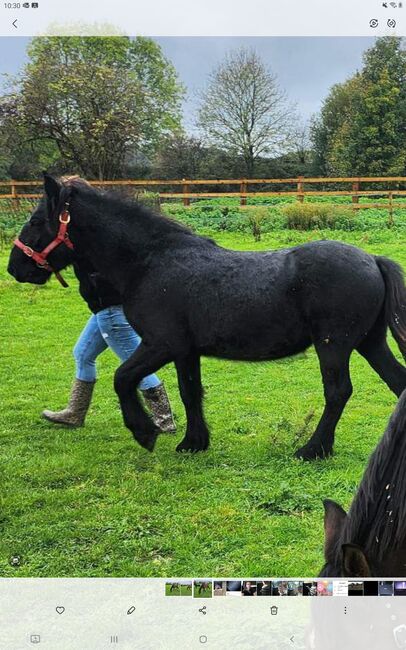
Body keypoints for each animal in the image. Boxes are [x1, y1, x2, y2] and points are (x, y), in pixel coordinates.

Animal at [7, 175, 406, 458]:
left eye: (37, 220)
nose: (15, 268)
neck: (150, 262)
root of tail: (372, 260)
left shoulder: (161, 344)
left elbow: (122, 378)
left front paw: (145, 432)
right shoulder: (186, 351)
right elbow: (189, 391)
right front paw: (193, 442)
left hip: (334, 346)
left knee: (338, 391)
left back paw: (312, 449)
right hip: (369, 342)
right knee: (396, 382)